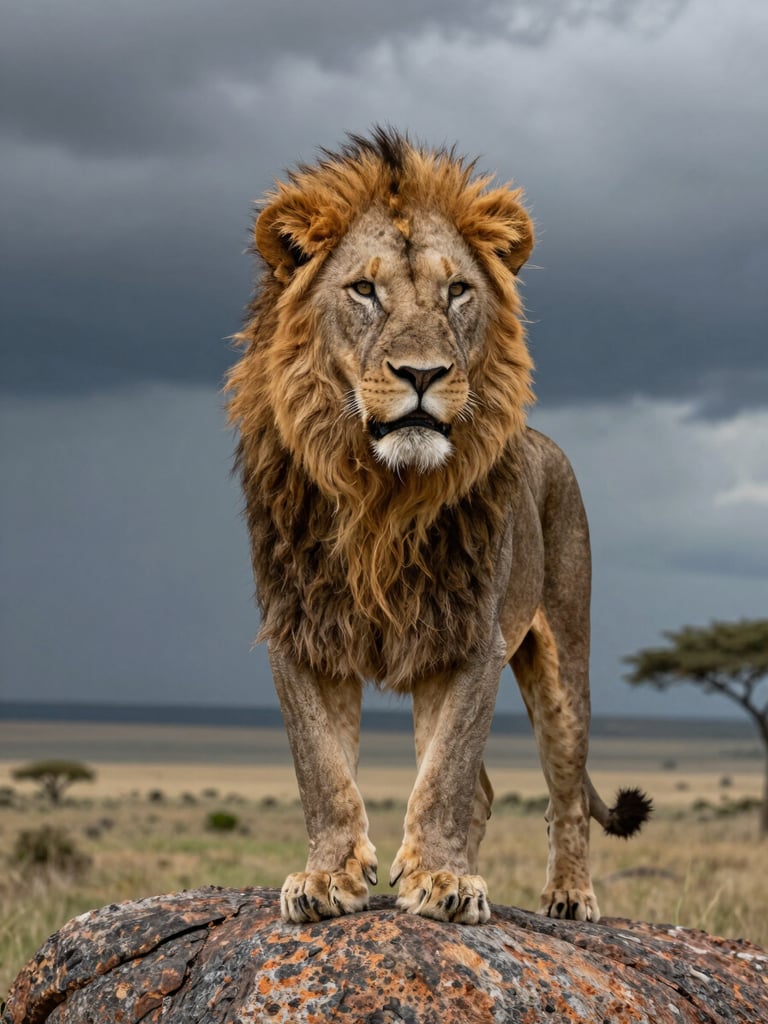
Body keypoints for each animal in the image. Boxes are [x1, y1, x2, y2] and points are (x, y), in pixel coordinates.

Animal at [227, 128, 651, 926]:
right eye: (364, 291)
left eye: (457, 291)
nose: (422, 373)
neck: (381, 495)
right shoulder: (299, 630)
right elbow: (322, 769)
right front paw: (328, 877)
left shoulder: (468, 636)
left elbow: (445, 775)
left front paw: (443, 879)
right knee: (487, 793)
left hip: (564, 662)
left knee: (564, 790)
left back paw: (568, 895)